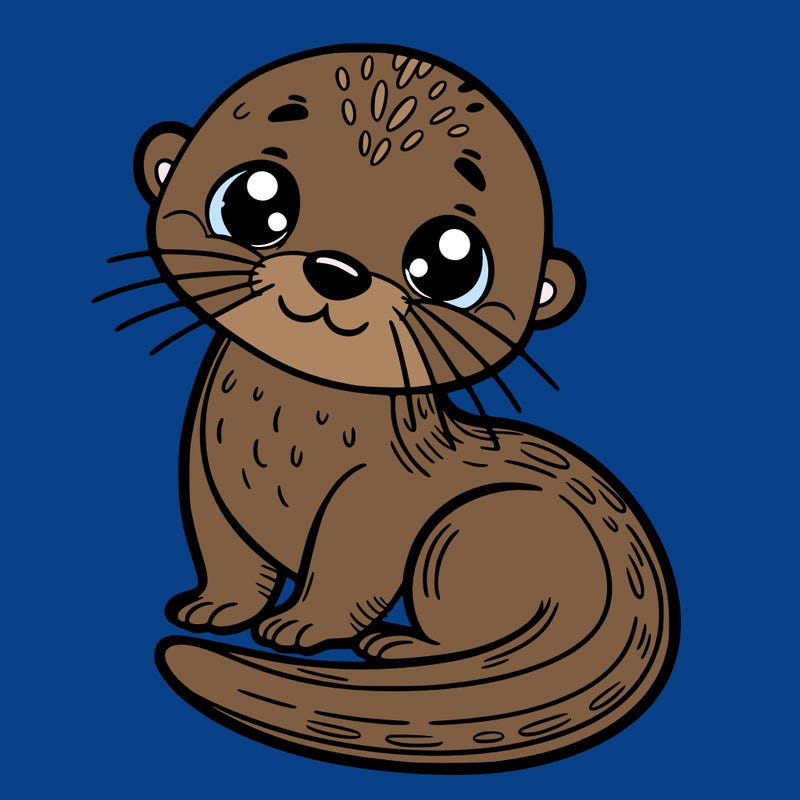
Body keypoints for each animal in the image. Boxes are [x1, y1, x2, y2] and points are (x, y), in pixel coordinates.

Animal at [104, 46, 679, 772]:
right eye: (255, 200)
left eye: (450, 262)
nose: (335, 270)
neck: (284, 433)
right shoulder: (205, 474)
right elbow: (225, 551)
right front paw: (215, 608)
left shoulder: (375, 498)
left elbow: (350, 569)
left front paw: (301, 625)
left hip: (467, 531)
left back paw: (402, 646)